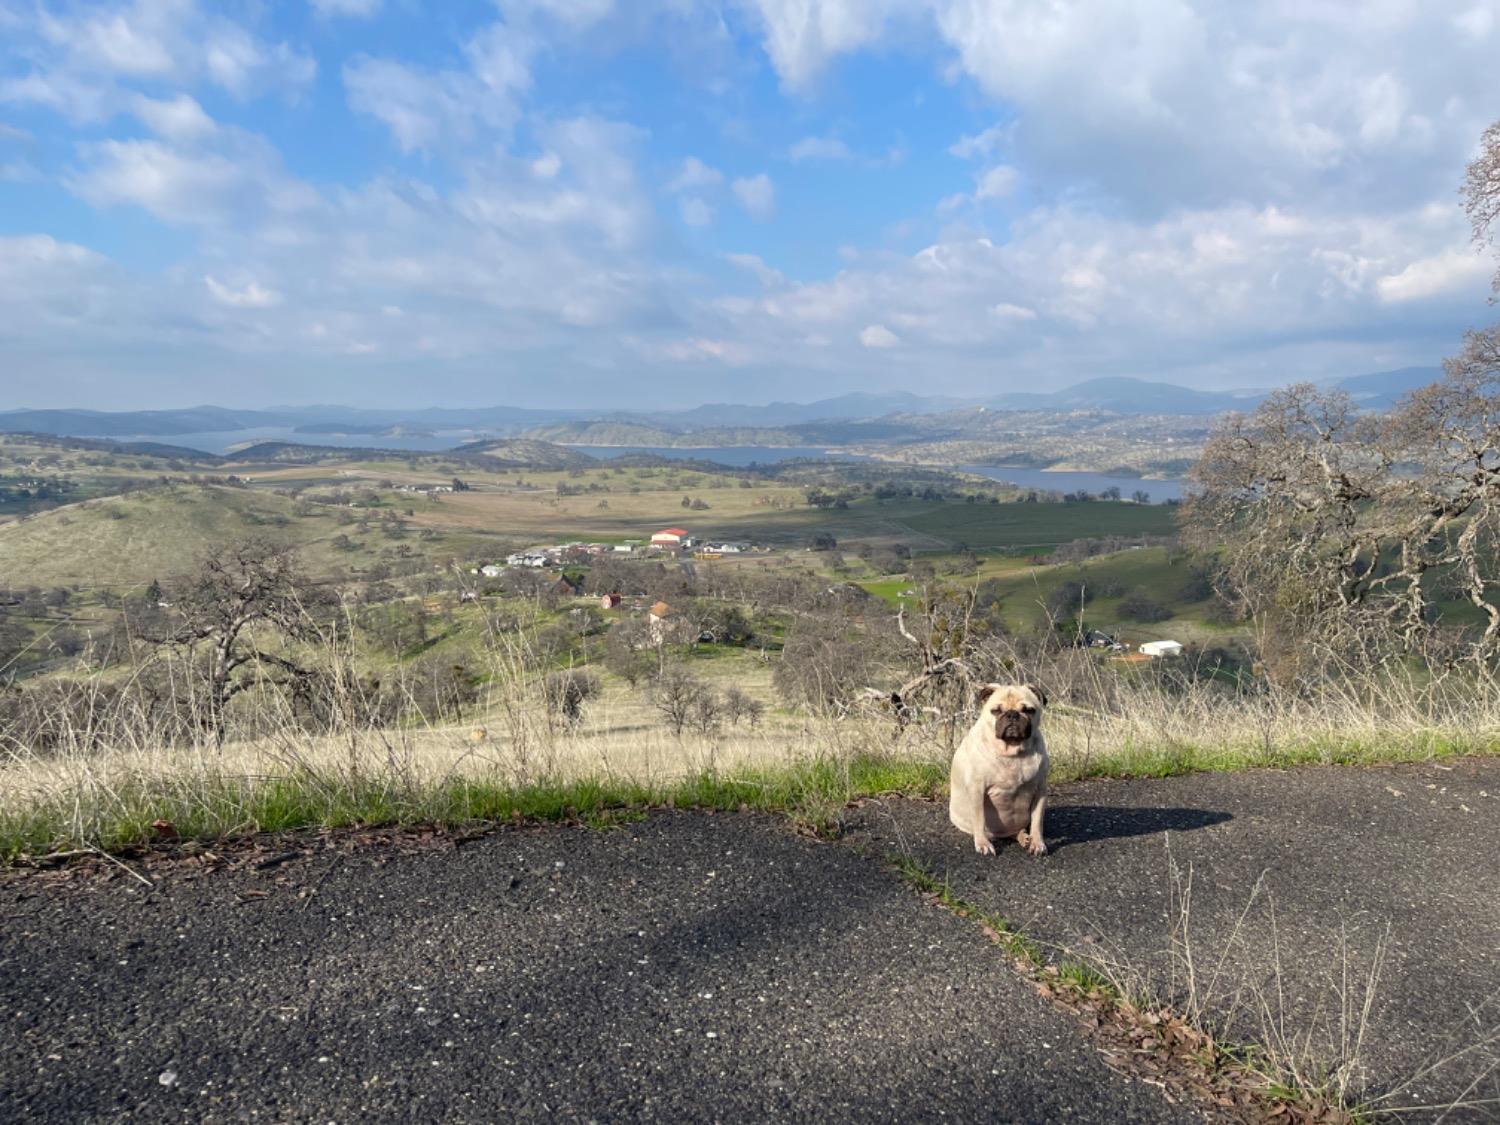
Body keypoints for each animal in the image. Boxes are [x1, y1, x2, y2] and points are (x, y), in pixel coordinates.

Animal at [948, 684, 1056, 858]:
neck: (1012, 752)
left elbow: (1037, 821)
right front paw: (983, 844)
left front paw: (1037, 843)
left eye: (1028, 710)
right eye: (996, 711)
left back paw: (1025, 838)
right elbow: (979, 818)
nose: (1012, 714)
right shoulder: (977, 790)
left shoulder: (1040, 790)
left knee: (1018, 830)